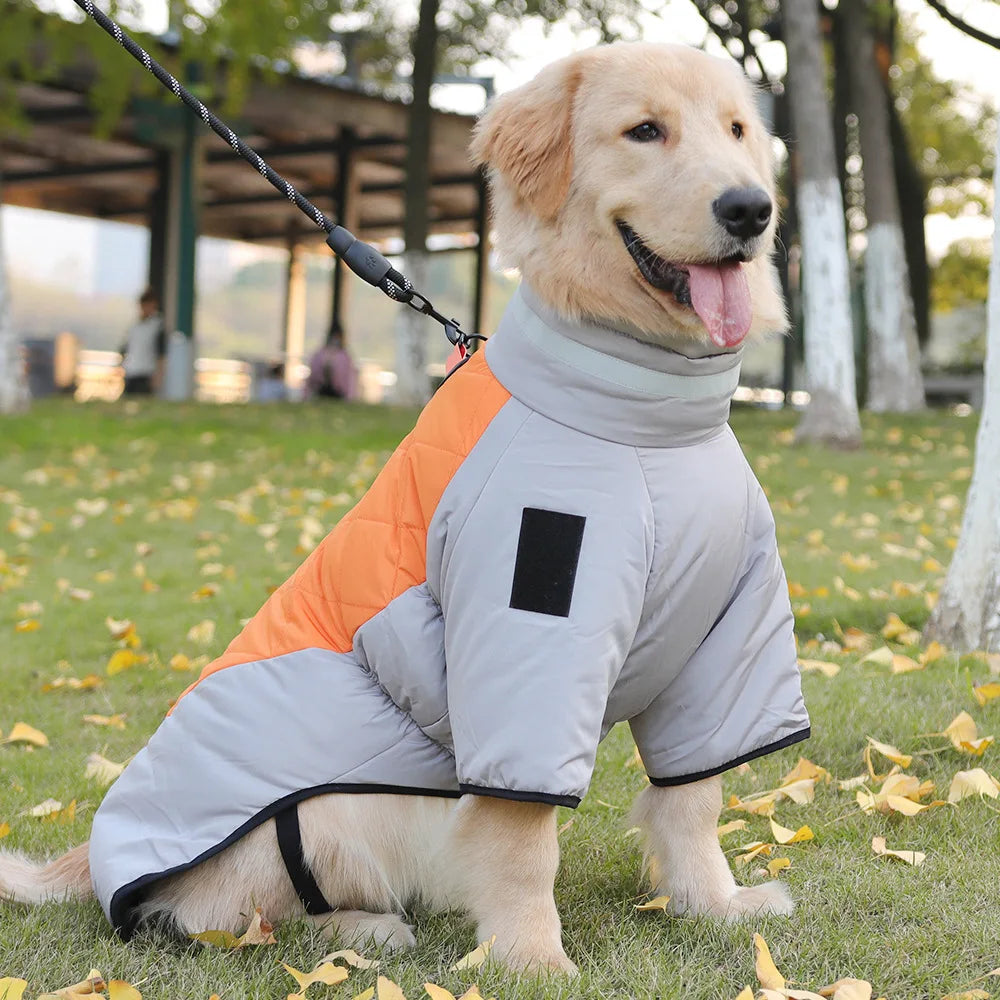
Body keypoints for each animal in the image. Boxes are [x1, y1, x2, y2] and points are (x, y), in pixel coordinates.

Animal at [1, 43, 796, 972]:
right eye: (645, 131)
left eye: (737, 131)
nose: (750, 209)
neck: (648, 424)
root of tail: (95, 853)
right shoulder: (527, 640)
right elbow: (523, 835)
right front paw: (532, 958)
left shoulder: (725, 643)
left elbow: (693, 798)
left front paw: (716, 905)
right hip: (328, 810)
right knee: (224, 916)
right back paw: (361, 928)